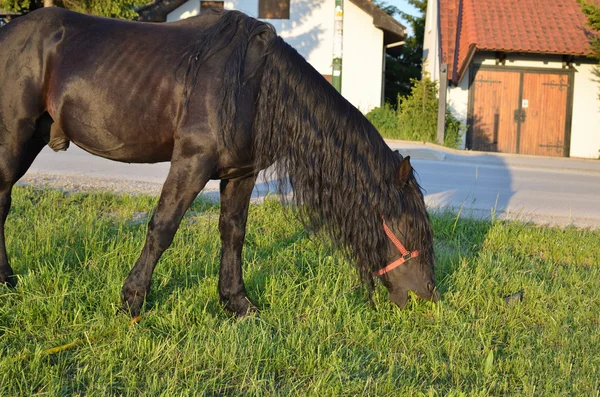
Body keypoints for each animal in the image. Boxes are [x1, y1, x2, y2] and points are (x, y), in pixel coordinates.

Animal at [1, 6, 440, 316]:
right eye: (409, 224)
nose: (427, 297)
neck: (255, 86)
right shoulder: (191, 163)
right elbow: (162, 228)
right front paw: (132, 301)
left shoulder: (241, 174)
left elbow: (234, 233)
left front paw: (237, 303)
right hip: (14, 138)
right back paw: (8, 281)